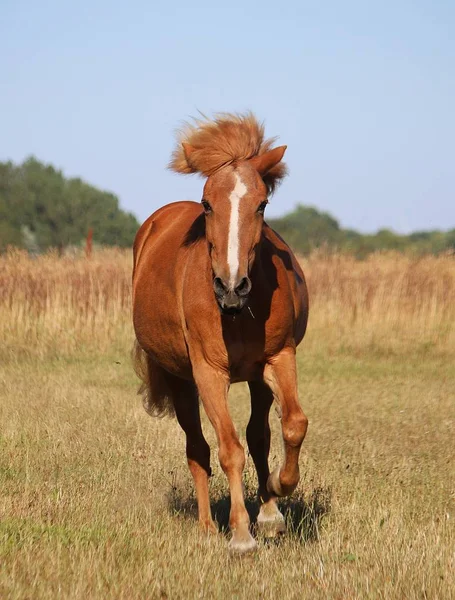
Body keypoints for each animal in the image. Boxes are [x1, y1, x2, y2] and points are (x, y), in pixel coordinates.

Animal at [132, 112, 310, 552]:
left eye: (262, 204)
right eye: (207, 204)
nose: (231, 287)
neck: (237, 314)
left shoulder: (279, 358)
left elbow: (292, 425)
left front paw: (277, 492)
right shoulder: (209, 373)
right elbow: (230, 449)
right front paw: (241, 534)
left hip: (256, 379)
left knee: (260, 435)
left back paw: (268, 510)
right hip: (180, 380)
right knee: (198, 449)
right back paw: (207, 527)